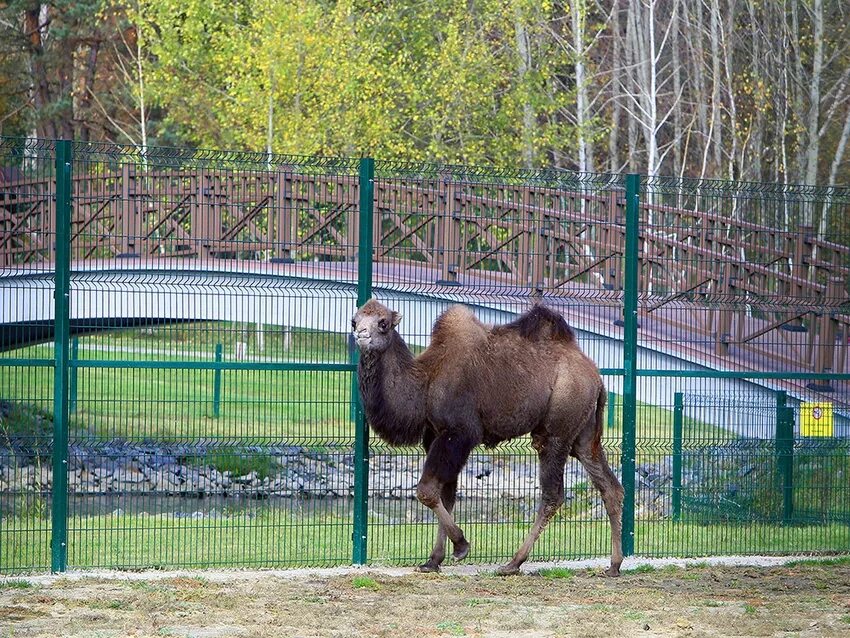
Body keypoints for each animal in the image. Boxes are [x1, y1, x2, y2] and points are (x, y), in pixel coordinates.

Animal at [352, 302, 624, 580]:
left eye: (383, 323)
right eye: (354, 320)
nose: (360, 334)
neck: (426, 382)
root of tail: (596, 376)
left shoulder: (460, 433)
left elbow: (427, 490)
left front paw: (461, 546)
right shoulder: (436, 436)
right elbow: (446, 494)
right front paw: (433, 560)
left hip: (557, 430)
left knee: (553, 495)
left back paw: (513, 563)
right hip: (583, 436)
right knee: (609, 486)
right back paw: (614, 565)